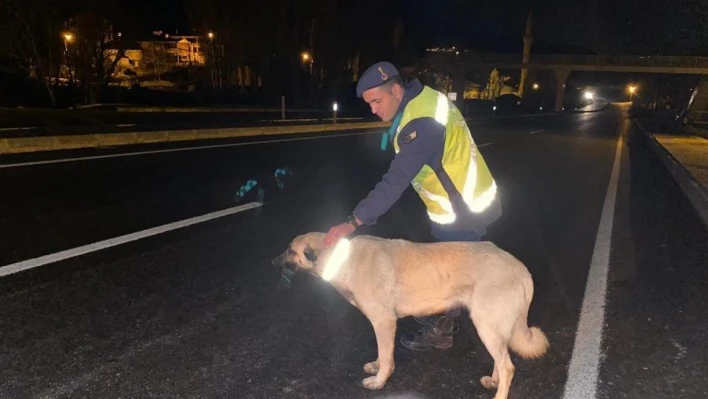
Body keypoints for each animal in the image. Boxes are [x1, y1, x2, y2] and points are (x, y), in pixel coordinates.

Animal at [272, 233, 548, 398]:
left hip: (487, 326)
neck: (339, 258)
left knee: (508, 366)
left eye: (289, 251)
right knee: (501, 360)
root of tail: (521, 268)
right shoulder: (382, 324)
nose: (272, 263)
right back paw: (493, 380)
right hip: (491, 327)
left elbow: (386, 357)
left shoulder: (384, 322)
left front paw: (380, 380)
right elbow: (382, 355)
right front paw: (376, 367)